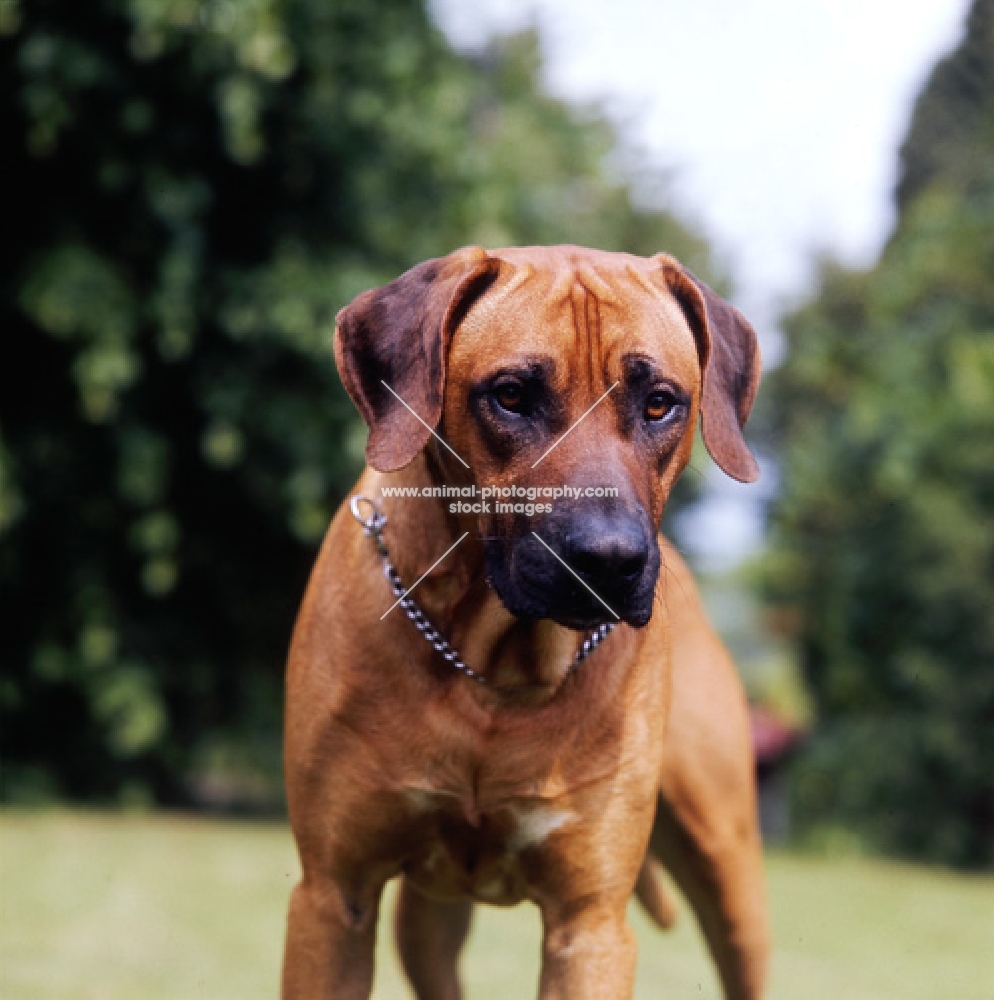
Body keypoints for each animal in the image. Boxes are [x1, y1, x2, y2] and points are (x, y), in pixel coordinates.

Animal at [282, 244, 772, 1000]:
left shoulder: (589, 925)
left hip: (730, 870)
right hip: (424, 920)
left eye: (660, 402)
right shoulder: (333, 897)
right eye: (511, 395)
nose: (608, 559)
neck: (492, 664)